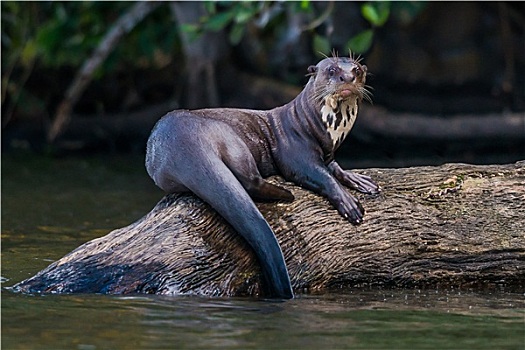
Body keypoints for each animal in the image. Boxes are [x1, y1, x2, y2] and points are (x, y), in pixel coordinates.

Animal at [145, 54, 378, 298]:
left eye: (357, 69)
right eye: (332, 70)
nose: (348, 77)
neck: (314, 125)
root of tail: (182, 142)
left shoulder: (328, 153)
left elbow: (334, 167)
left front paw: (359, 180)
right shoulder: (296, 153)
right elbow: (320, 175)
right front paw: (348, 202)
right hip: (231, 139)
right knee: (249, 181)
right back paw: (286, 194)